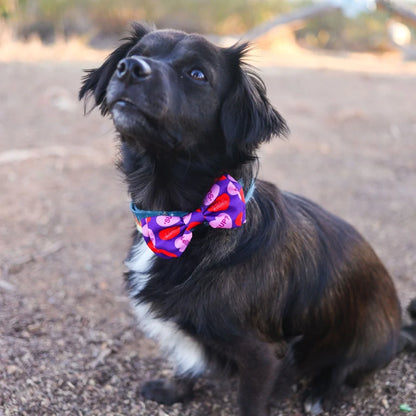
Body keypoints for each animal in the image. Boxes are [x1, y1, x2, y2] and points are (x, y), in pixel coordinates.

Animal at [79, 23, 416, 416]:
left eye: (197, 74)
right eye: (139, 54)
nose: (130, 68)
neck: (189, 221)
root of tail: (399, 331)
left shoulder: (262, 356)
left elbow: (249, 401)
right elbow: (184, 361)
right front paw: (173, 390)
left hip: (364, 338)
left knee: (344, 370)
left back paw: (320, 393)